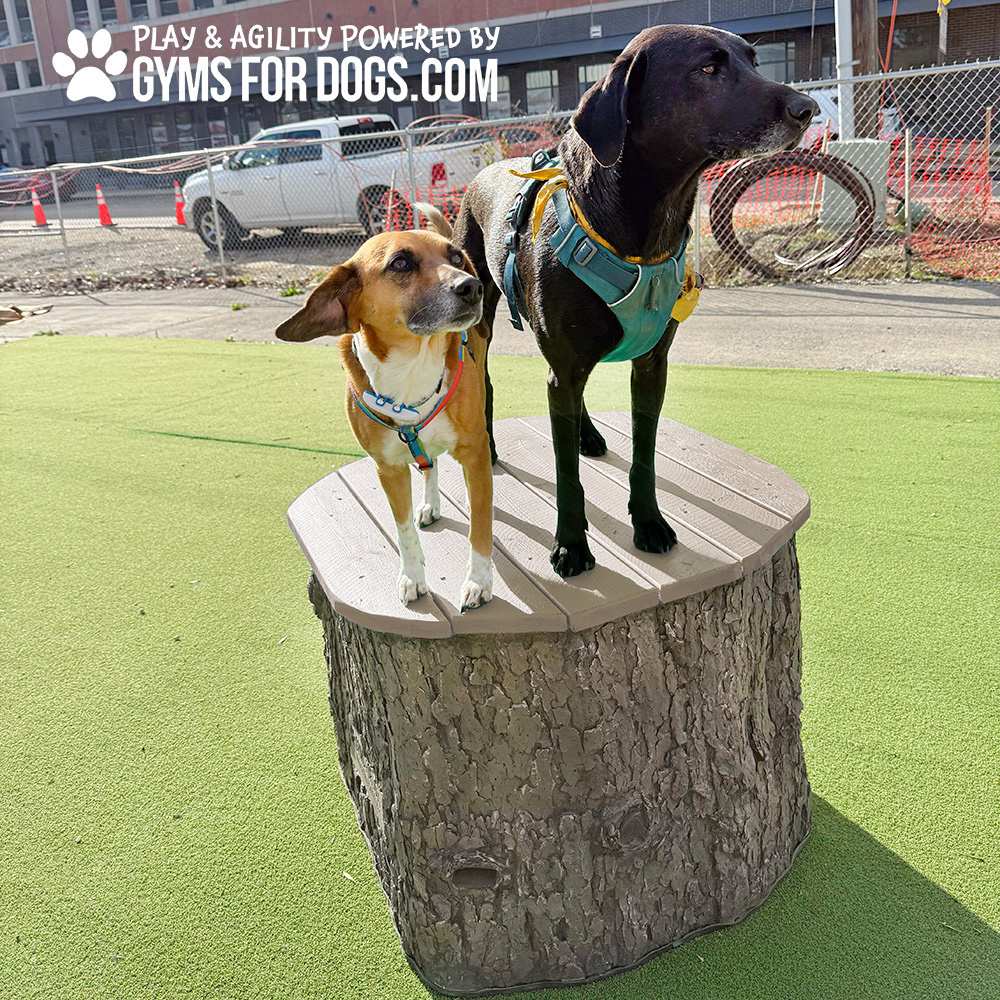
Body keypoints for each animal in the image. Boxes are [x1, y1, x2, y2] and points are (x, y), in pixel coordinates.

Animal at [275, 226, 494, 611]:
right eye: (400, 263)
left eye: (455, 258)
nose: (472, 286)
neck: (412, 370)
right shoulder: (389, 469)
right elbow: (403, 530)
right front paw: (412, 577)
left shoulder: (475, 455)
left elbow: (479, 526)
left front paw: (478, 582)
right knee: (429, 464)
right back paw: (430, 503)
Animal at [453, 25, 818, 577]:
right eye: (707, 69)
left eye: (754, 61)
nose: (807, 108)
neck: (645, 228)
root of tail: (483, 171)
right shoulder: (563, 367)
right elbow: (566, 475)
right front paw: (571, 545)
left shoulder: (650, 366)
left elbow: (643, 457)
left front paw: (648, 523)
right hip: (482, 317)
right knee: (489, 380)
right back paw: (494, 446)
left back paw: (587, 435)